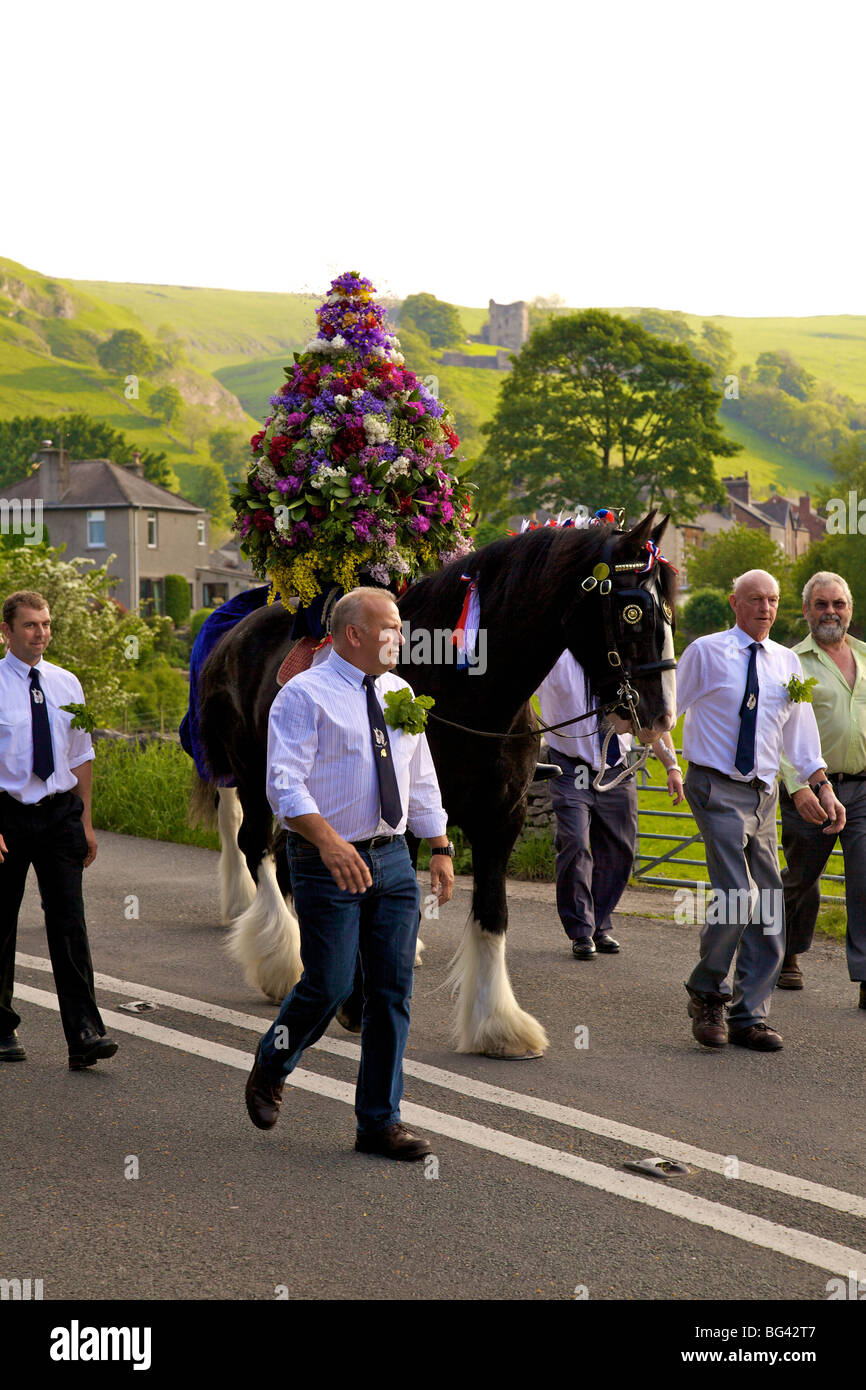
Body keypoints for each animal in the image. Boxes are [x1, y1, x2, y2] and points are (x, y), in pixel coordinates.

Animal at [195, 517, 678, 1056]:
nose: (660, 718)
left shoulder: (500, 821)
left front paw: (497, 1024)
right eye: (634, 611)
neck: (467, 691)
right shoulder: (399, 821)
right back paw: (281, 958)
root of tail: (233, 633)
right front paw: (357, 1003)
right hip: (256, 778)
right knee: (256, 848)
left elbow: (492, 913)